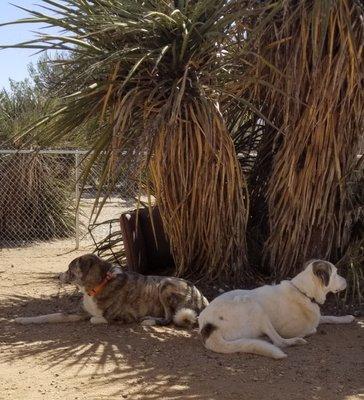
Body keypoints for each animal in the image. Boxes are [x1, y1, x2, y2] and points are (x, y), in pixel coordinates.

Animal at [15, 255, 209, 326]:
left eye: (70, 269)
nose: (57, 277)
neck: (97, 285)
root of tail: (203, 298)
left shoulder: (124, 316)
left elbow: (96, 318)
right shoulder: (78, 312)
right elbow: (49, 315)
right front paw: (22, 319)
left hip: (165, 285)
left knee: (170, 318)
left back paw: (150, 321)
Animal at [199, 260, 356, 360]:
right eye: (336, 273)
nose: (347, 281)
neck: (304, 292)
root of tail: (208, 325)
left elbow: (329, 317)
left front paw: (347, 317)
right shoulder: (291, 329)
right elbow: (313, 328)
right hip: (253, 305)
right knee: (279, 342)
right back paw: (295, 341)